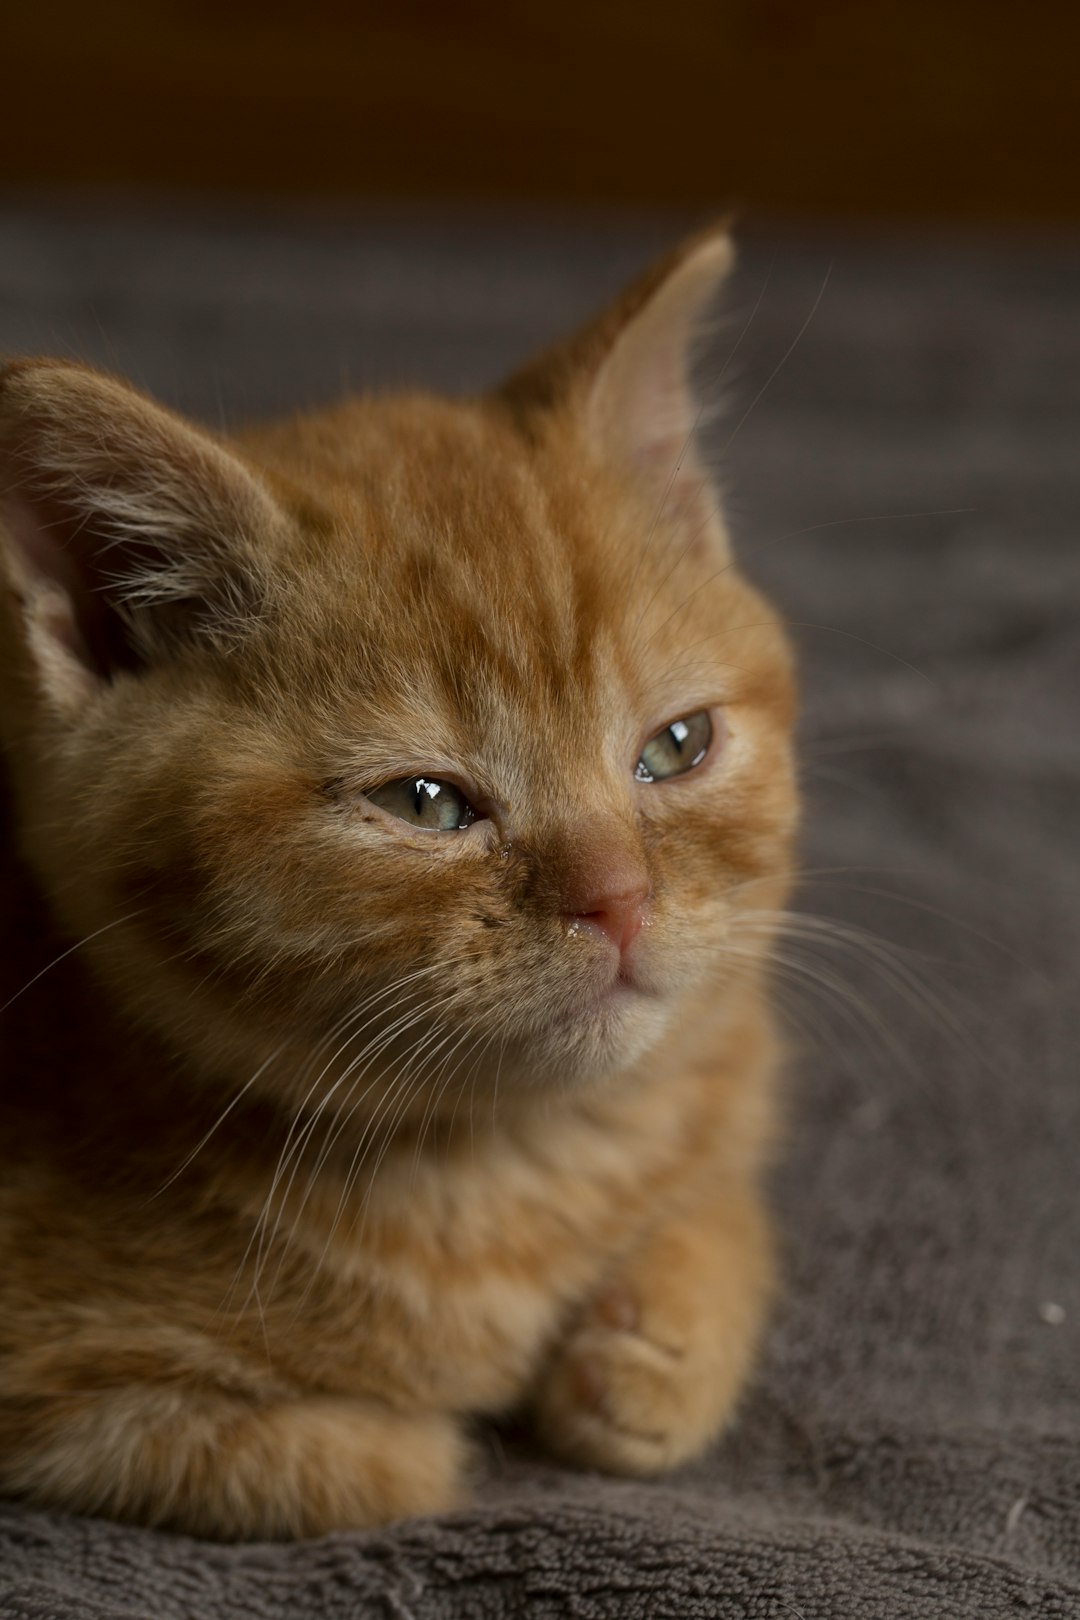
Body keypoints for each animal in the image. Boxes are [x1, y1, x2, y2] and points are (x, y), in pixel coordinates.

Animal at [0, 228, 793, 1529]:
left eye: (675, 747)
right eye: (426, 805)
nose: (618, 898)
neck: (509, 1171)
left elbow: (721, 1202)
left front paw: (662, 1333)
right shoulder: (59, 1398)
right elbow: (372, 1467)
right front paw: (437, 1429)